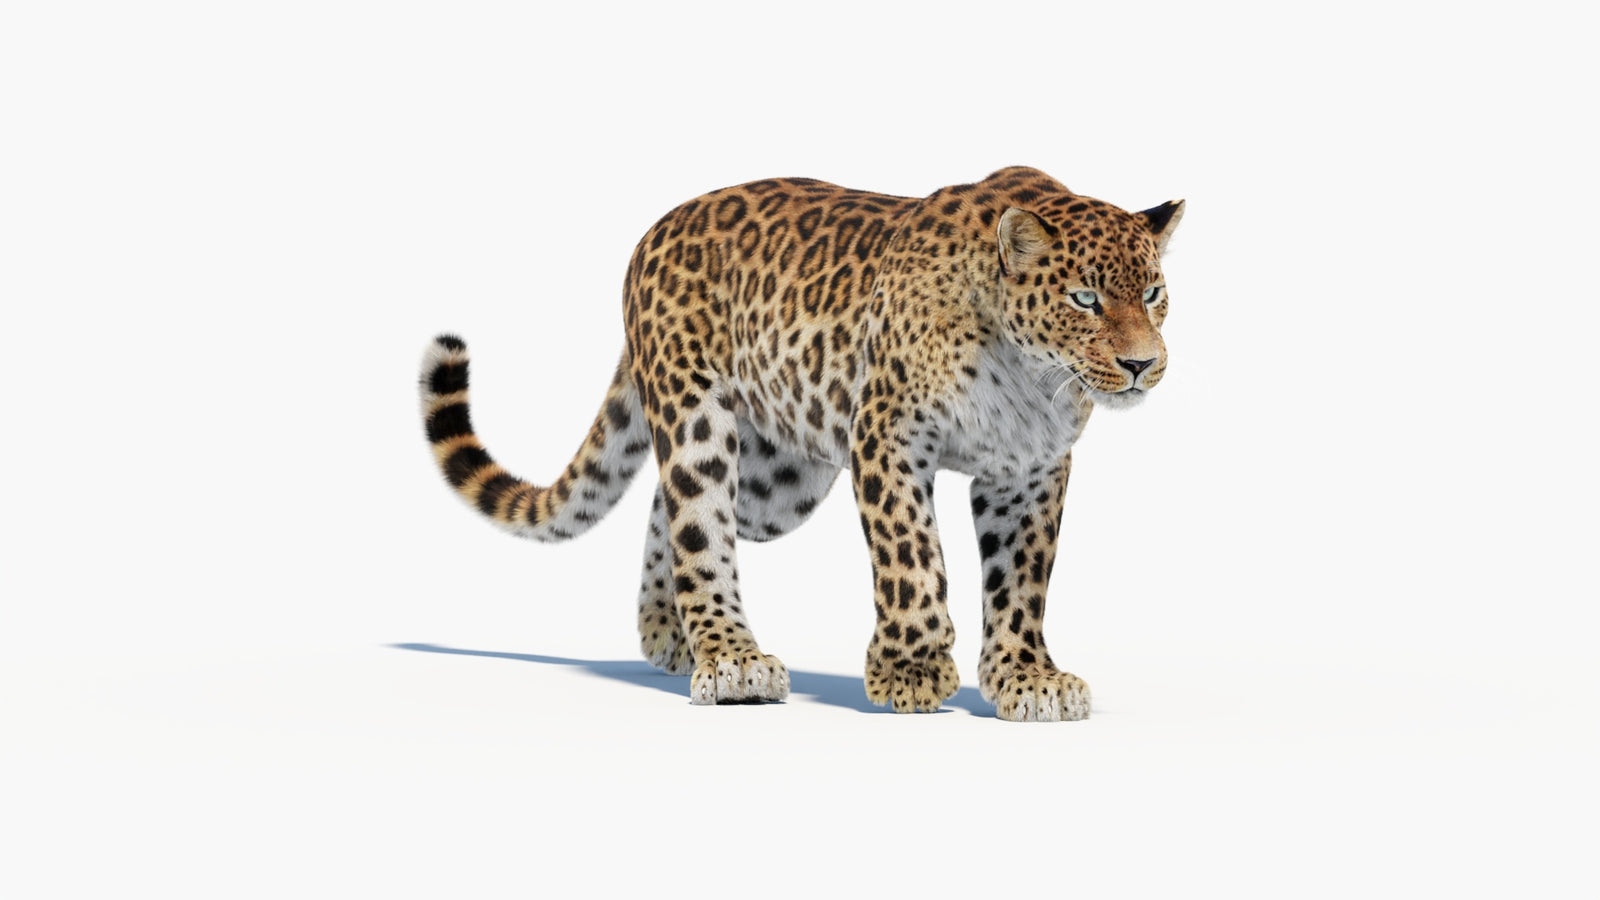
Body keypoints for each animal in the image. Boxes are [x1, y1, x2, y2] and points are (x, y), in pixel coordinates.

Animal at [418, 166, 1183, 721]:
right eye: (1083, 299)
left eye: (1153, 293)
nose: (1142, 364)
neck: (1029, 372)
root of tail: (655, 230)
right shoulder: (888, 435)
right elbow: (912, 557)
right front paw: (911, 672)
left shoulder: (1029, 471)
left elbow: (1022, 581)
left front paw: (1028, 678)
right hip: (698, 417)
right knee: (698, 521)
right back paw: (731, 662)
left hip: (776, 482)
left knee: (672, 511)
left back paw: (669, 631)